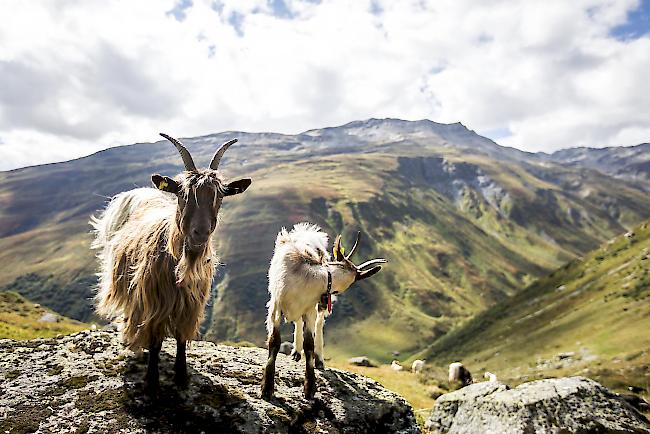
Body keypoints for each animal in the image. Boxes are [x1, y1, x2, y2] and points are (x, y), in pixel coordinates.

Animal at [91, 134, 251, 392]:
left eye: (219, 197)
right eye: (183, 195)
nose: (200, 233)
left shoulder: (190, 305)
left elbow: (181, 339)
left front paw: (181, 376)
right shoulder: (153, 302)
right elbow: (155, 342)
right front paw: (152, 381)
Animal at [262, 224, 388, 400]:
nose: (325, 299)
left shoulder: (310, 308)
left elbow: (309, 344)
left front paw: (309, 388)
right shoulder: (276, 305)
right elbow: (274, 342)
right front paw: (267, 389)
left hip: (317, 309)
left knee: (319, 325)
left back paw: (319, 360)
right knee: (298, 322)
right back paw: (295, 353)